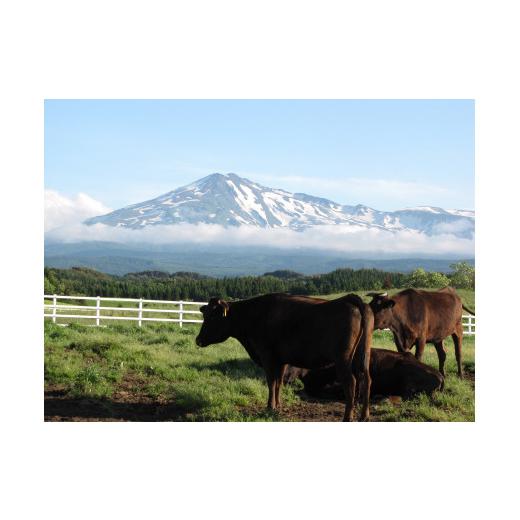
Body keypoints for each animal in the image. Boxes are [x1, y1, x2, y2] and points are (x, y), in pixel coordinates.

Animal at [195, 294, 374, 420]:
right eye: (205, 315)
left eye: (213, 316)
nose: (198, 340)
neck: (254, 316)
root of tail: (351, 299)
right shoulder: (281, 361)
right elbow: (278, 383)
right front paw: (278, 405)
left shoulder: (267, 356)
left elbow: (271, 382)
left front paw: (270, 407)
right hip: (362, 357)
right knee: (366, 380)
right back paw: (364, 416)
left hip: (343, 360)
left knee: (351, 382)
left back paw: (348, 417)